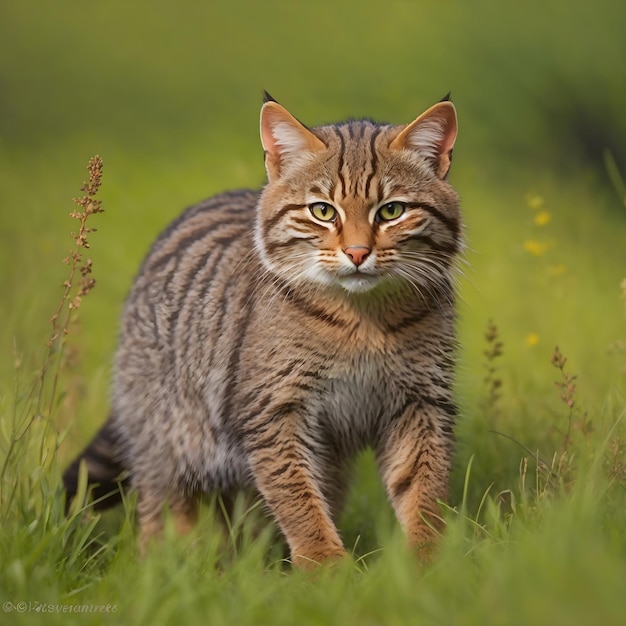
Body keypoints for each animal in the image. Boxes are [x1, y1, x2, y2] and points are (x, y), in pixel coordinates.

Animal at [63, 91, 460, 564]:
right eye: (322, 211)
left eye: (392, 211)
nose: (357, 252)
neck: (364, 322)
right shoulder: (275, 410)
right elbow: (299, 501)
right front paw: (327, 568)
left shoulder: (420, 403)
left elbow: (422, 493)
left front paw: (428, 564)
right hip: (168, 439)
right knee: (162, 505)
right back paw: (172, 563)